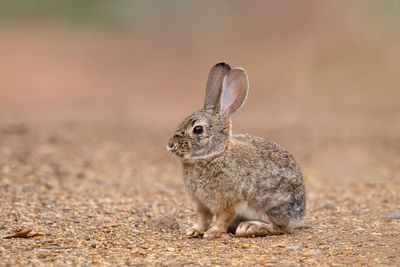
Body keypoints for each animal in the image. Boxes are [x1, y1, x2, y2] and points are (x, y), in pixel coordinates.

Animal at [167, 62, 304, 239]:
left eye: (197, 129)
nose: (170, 144)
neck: (215, 154)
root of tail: (299, 214)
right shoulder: (201, 203)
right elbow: (202, 218)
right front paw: (194, 230)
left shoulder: (229, 202)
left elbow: (223, 218)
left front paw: (213, 232)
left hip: (271, 204)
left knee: (281, 227)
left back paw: (251, 228)